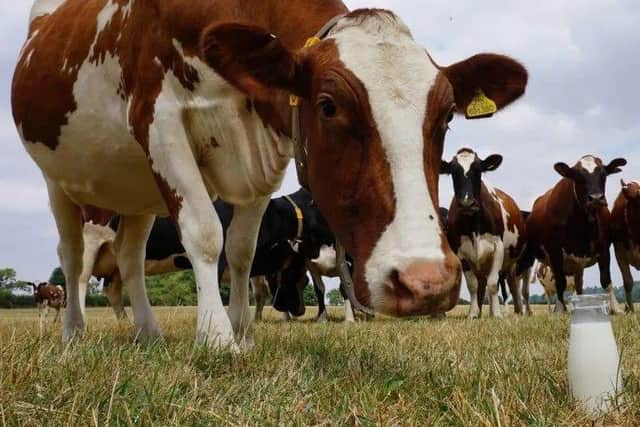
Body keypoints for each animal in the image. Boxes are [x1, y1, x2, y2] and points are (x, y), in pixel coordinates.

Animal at [441, 148, 528, 318]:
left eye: (478, 170)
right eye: (453, 172)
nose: (467, 203)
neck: (474, 225)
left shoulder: (498, 248)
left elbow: (493, 284)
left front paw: (497, 315)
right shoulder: (461, 253)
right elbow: (473, 285)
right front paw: (473, 314)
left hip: (512, 262)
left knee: (513, 285)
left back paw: (517, 311)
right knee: (482, 285)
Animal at [518, 155, 627, 313]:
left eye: (603, 175)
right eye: (578, 176)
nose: (596, 198)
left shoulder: (604, 248)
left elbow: (606, 280)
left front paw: (616, 308)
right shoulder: (555, 251)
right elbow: (560, 282)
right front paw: (559, 309)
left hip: (577, 267)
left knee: (579, 285)